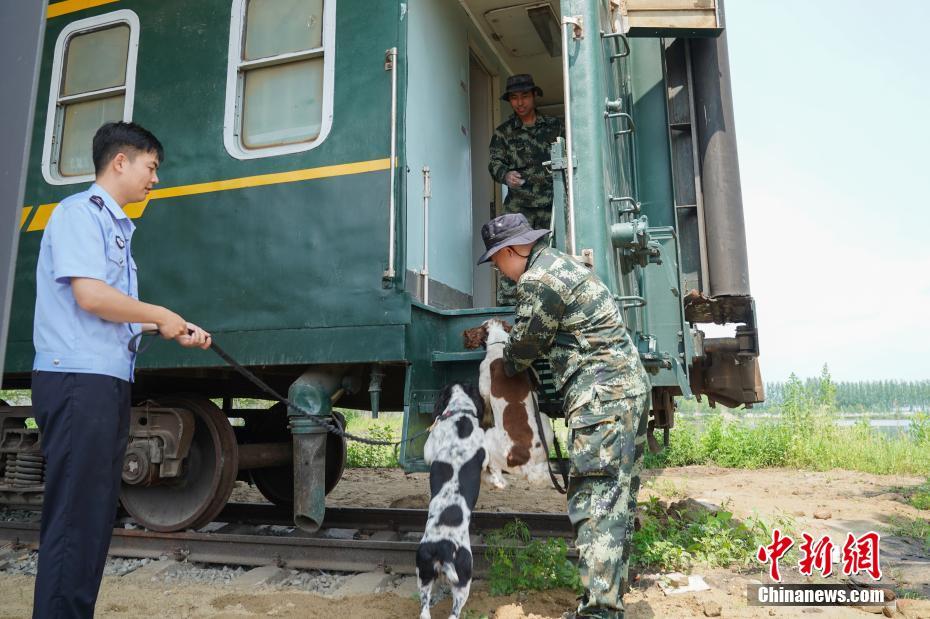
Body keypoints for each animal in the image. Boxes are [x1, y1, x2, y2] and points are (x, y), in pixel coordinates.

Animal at [416, 382, 486, 619]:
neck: (460, 413)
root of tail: (445, 548)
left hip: (425, 572)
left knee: (426, 609)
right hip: (463, 576)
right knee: (453, 612)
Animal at [462, 320, 552, 490]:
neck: (499, 344)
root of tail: (527, 463)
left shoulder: (484, 387)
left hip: (489, 436)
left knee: (497, 476)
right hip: (544, 422)